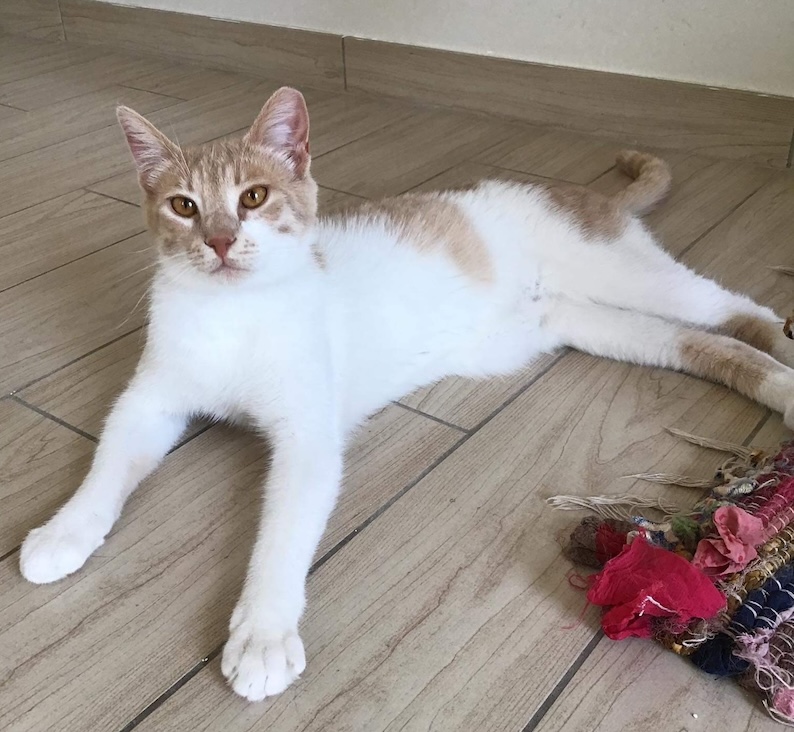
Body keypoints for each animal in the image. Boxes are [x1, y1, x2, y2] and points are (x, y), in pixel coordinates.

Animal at [19, 86, 794, 702]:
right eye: (183, 206)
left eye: (253, 198)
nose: (218, 241)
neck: (232, 316)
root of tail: (579, 195)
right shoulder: (150, 401)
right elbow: (108, 463)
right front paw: (64, 532)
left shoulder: (307, 438)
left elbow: (280, 536)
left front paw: (263, 634)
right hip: (594, 323)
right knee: (708, 346)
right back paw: (774, 380)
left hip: (627, 277)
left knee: (733, 309)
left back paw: (784, 356)